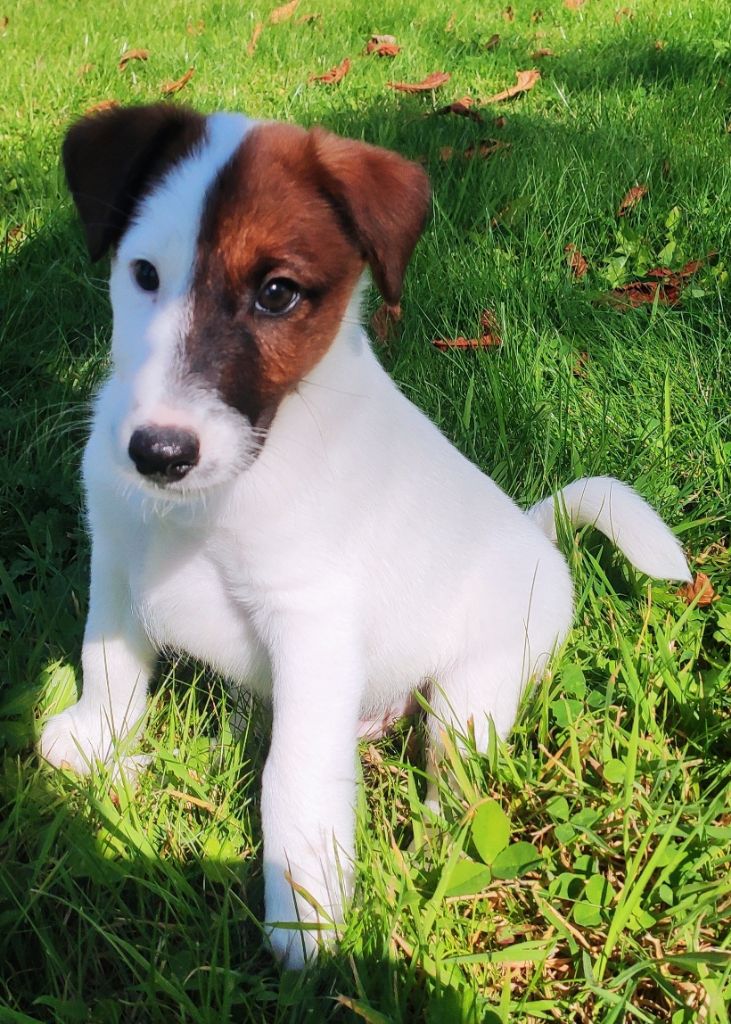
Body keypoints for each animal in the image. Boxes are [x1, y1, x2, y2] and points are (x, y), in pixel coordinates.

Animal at [39, 103, 688, 966]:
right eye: (143, 274)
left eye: (277, 294)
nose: (159, 453)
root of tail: (535, 537)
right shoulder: (116, 561)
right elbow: (107, 664)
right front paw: (91, 742)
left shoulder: (311, 627)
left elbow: (294, 777)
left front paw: (304, 912)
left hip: (470, 696)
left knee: (456, 780)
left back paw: (435, 844)